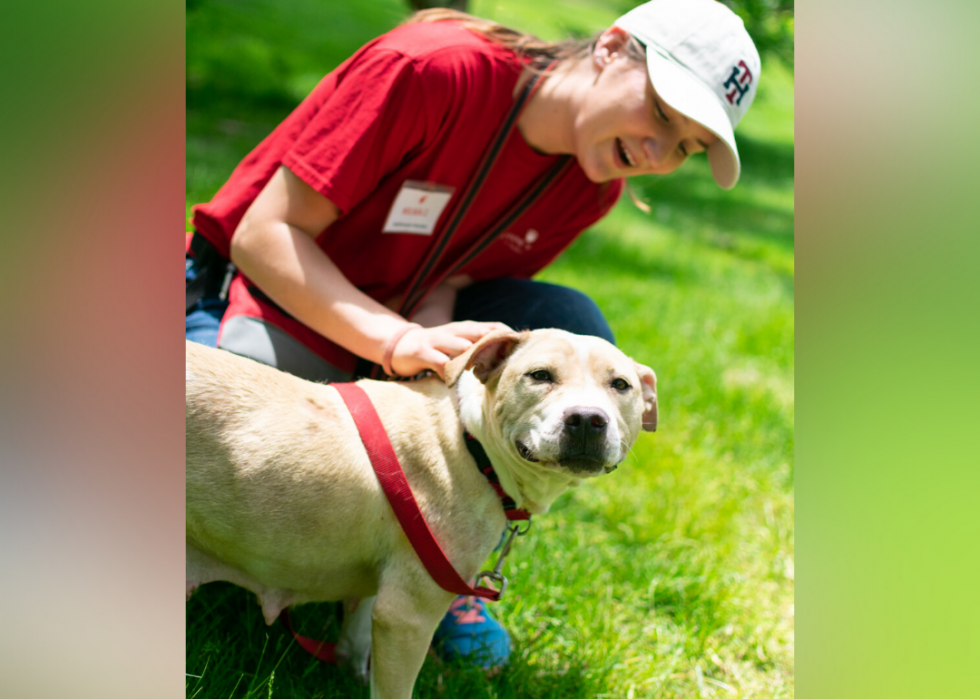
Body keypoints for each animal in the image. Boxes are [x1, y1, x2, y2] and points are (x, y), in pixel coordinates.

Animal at [186, 330, 660, 699]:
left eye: (620, 385)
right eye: (540, 375)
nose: (587, 419)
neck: (471, 443)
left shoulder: (389, 579)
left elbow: (356, 637)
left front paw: (350, 674)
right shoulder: (409, 615)